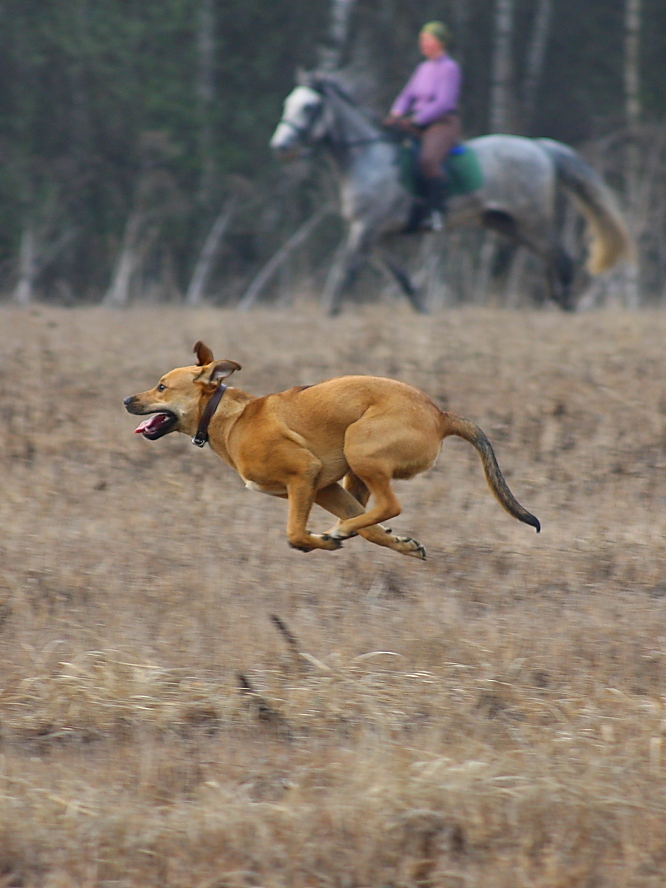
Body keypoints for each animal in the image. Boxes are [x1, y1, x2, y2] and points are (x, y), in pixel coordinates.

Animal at [124, 344, 540, 560]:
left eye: (161, 386)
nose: (127, 400)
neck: (230, 417)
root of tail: (440, 415)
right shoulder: (324, 487)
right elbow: (369, 530)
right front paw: (397, 543)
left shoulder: (303, 475)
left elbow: (294, 534)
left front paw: (319, 540)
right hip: (353, 473)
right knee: (370, 520)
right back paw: (373, 538)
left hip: (360, 448)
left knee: (389, 506)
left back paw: (337, 531)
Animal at [268, 73, 628, 316]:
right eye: (287, 103)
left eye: (309, 107)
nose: (281, 147)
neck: (368, 159)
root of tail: (540, 147)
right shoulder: (378, 235)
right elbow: (402, 279)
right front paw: (423, 313)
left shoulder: (365, 228)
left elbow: (347, 271)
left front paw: (330, 313)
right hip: (504, 222)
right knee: (548, 255)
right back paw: (554, 302)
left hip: (531, 218)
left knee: (560, 256)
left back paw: (565, 307)